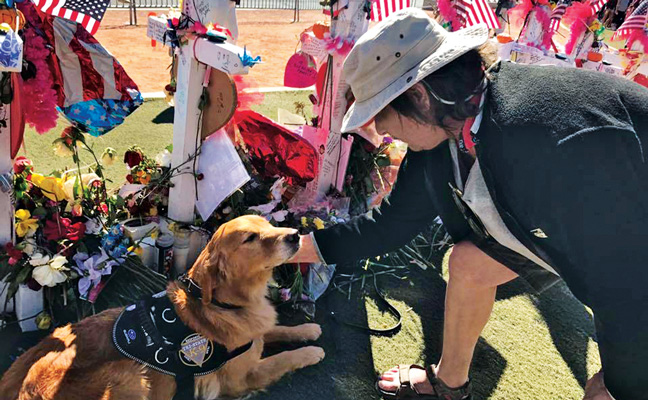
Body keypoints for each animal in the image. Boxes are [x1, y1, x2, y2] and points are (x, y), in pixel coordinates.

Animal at [0, 217, 324, 398]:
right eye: (250, 238)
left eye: (268, 225)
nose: (295, 234)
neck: (225, 303)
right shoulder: (242, 379)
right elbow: (284, 359)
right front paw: (312, 352)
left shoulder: (255, 335)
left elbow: (276, 330)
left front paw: (308, 329)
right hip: (130, 371)